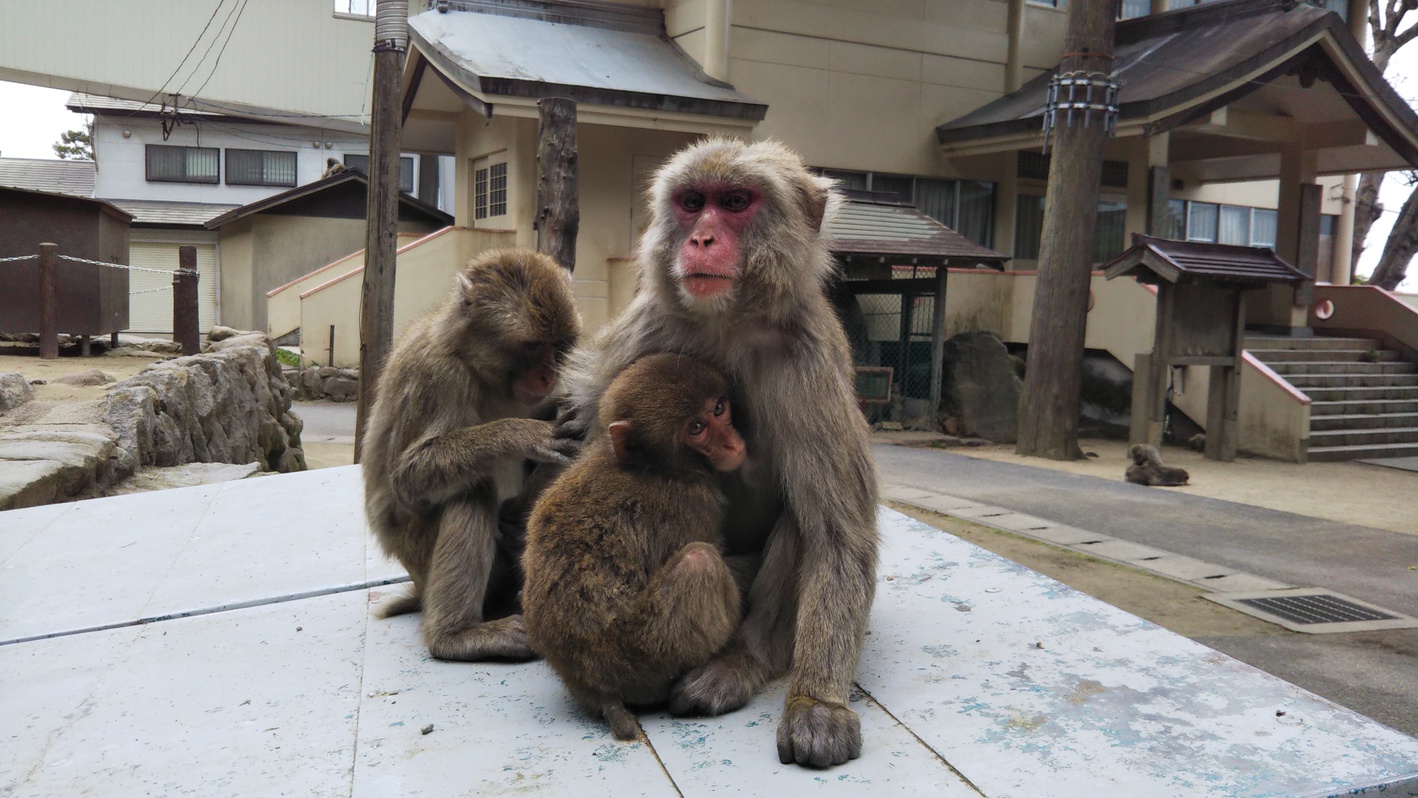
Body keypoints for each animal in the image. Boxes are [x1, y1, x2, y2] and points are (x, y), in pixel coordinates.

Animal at [368, 248, 584, 663]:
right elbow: (407, 479)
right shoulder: (436, 375)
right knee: (471, 490)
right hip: (418, 552)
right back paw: (455, 635)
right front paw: (522, 434)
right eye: (533, 346)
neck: (478, 367)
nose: (549, 375)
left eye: (558, 345)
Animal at [521, 355, 743, 742]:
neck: (653, 466)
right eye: (697, 427)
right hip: (649, 655)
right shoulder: (693, 504)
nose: (732, 443)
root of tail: (596, 688)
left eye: (719, 408)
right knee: (699, 561)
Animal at [561, 138, 873, 765]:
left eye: (733, 202)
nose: (702, 238)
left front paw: (819, 704)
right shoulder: (648, 327)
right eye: (691, 203)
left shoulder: (810, 361)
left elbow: (837, 535)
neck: (730, 318)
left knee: (802, 520)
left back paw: (740, 662)